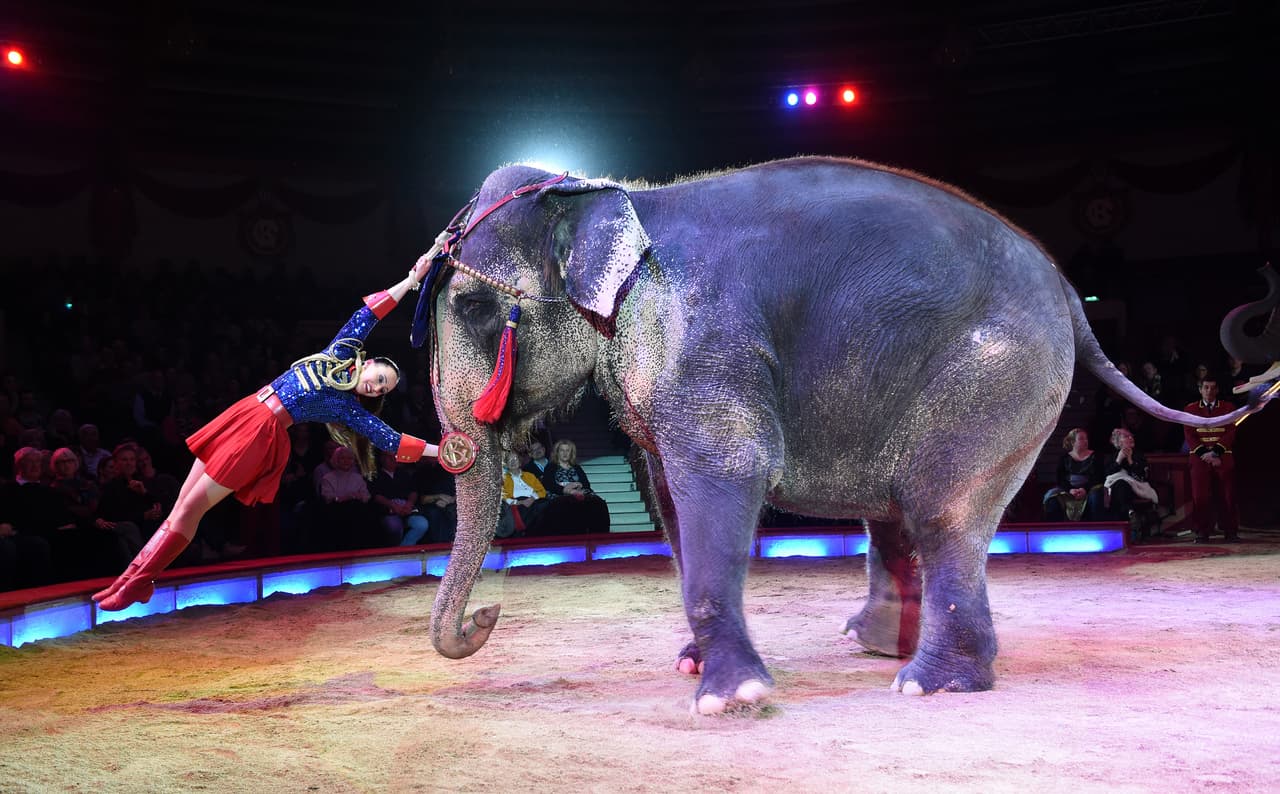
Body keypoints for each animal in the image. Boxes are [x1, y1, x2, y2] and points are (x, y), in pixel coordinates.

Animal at [413, 156, 1273, 715]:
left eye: (473, 309)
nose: (489, 619)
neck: (607, 194)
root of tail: (1066, 286)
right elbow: (667, 496)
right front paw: (692, 666)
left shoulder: (706, 339)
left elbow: (722, 475)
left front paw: (731, 701)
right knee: (897, 514)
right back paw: (878, 646)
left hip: (997, 371)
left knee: (940, 511)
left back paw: (928, 684)